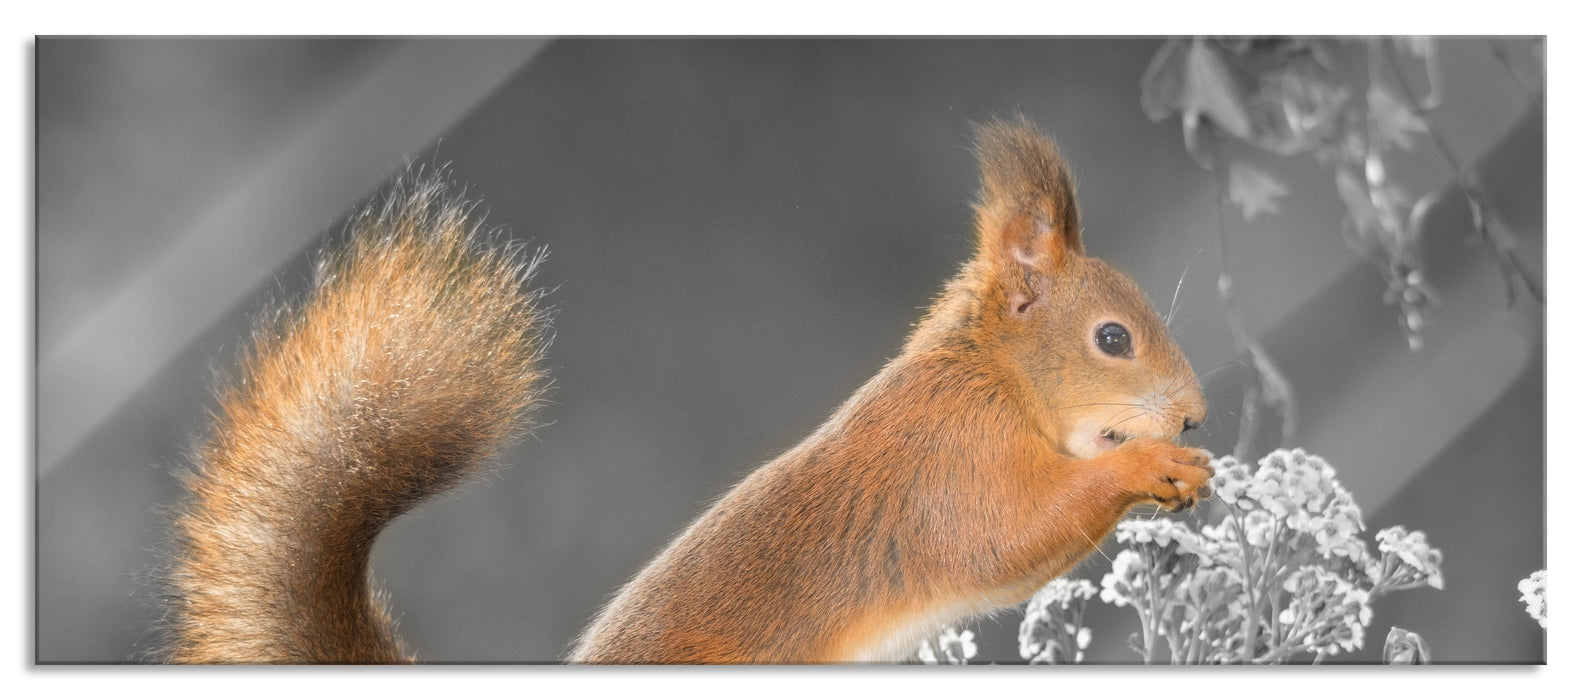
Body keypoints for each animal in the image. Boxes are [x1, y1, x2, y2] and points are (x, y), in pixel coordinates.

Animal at [160, 117, 1211, 664]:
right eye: (1113, 339)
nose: (1195, 414)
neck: (992, 376)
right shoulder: (952, 460)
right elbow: (1008, 536)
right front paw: (1154, 466)